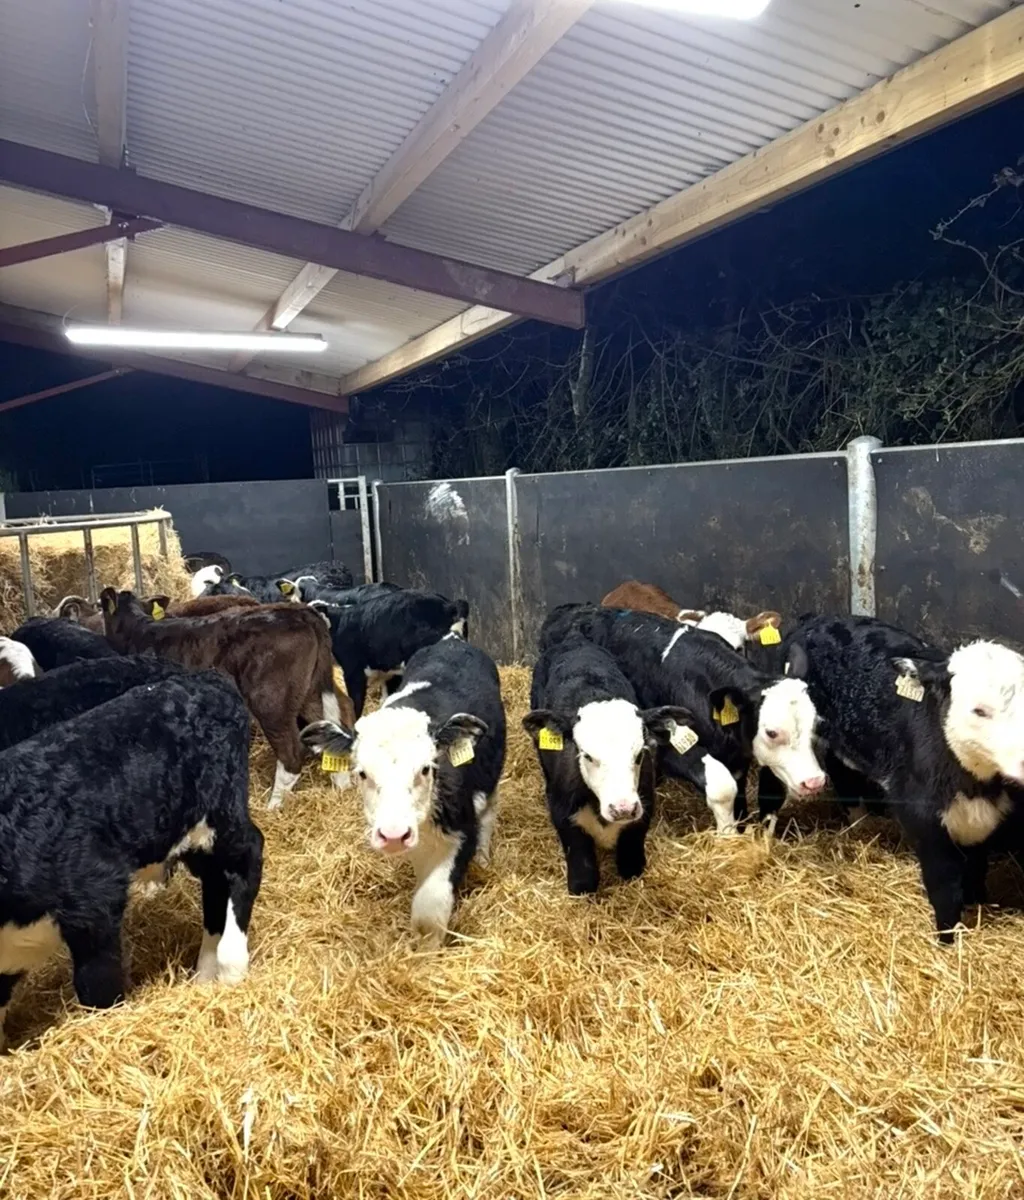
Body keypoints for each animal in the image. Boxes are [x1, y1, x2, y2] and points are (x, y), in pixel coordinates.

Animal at [0, 672, 263, 1045]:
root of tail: (210, 679)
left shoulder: (95, 899)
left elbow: (98, 986)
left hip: (220, 814)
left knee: (248, 857)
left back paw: (231, 965)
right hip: (185, 834)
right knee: (215, 882)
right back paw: (204, 974)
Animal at [100, 588, 352, 808]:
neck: (139, 631)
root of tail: (302, 612)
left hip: (271, 701)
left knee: (291, 752)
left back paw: (274, 806)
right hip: (312, 691)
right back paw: (343, 788)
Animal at [300, 637, 505, 948]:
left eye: (426, 769)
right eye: (362, 773)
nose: (394, 834)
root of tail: (452, 640)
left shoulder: (460, 831)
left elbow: (430, 907)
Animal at [524, 631, 695, 894]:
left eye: (640, 754)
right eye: (587, 755)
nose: (623, 808)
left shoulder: (642, 814)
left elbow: (631, 867)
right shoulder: (563, 816)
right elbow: (583, 879)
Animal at [783, 615, 1024, 941]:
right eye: (979, 710)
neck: (974, 785)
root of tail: (816, 618)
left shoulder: (986, 818)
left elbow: (976, 867)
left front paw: (976, 906)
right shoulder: (921, 817)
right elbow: (944, 882)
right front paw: (947, 937)